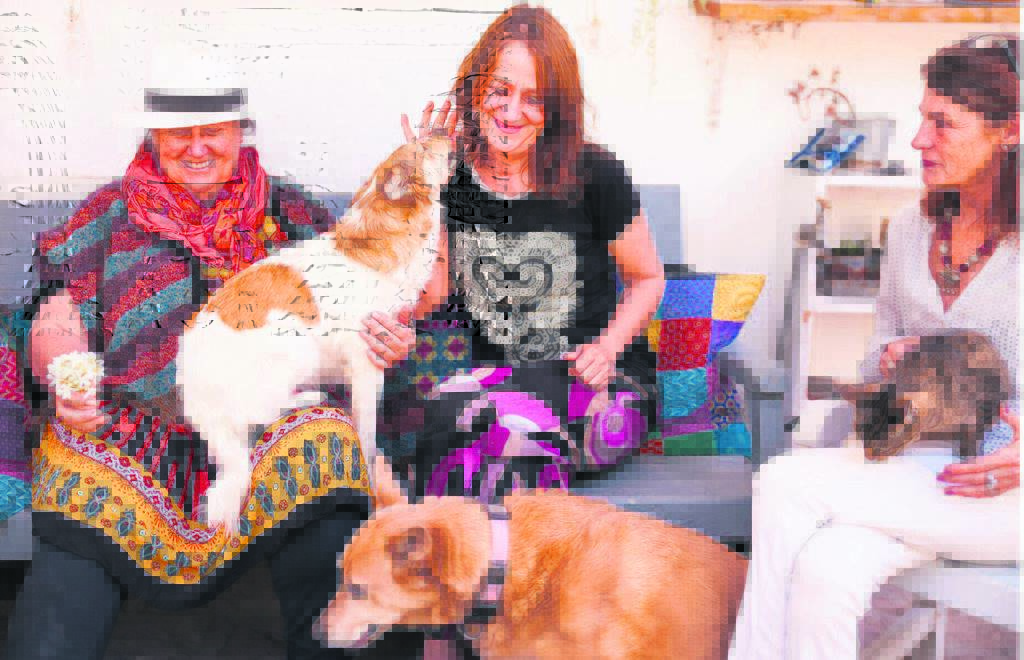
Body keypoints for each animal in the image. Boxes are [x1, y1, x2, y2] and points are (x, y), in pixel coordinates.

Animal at [177, 136, 452, 532]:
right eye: (423, 145)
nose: (449, 132)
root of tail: (196, 397)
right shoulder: (365, 365)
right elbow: (368, 437)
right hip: (294, 341)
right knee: (259, 411)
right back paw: (306, 398)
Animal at [819, 330, 1010, 460]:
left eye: (883, 448)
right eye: (860, 436)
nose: (868, 456)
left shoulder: (977, 413)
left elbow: (971, 437)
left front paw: (968, 457)